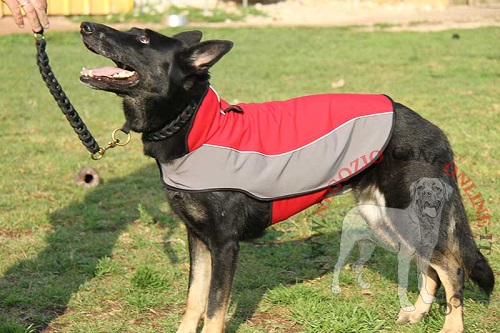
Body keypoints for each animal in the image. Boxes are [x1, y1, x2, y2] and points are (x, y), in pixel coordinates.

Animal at [332, 176, 454, 314]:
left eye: (437, 188)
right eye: (420, 188)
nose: (426, 194)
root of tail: (353, 209)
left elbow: (422, 280)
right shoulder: (404, 257)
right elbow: (404, 283)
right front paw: (406, 305)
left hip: (367, 247)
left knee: (357, 265)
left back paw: (362, 285)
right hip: (347, 245)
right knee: (338, 265)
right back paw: (335, 288)